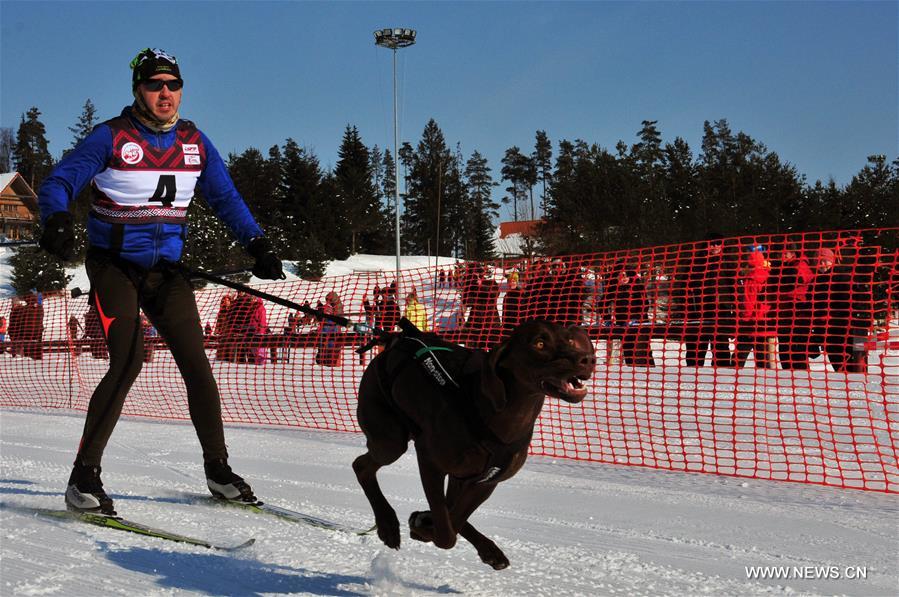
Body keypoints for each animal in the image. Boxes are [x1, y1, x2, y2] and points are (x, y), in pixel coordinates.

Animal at [354, 322, 596, 568]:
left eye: (571, 341)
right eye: (539, 343)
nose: (587, 359)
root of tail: (395, 340)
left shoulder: (486, 482)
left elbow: (453, 519)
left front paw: (424, 521)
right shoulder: (430, 462)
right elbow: (446, 533)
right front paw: (423, 525)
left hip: (454, 472)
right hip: (389, 441)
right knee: (361, 466)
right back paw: (388, 525)